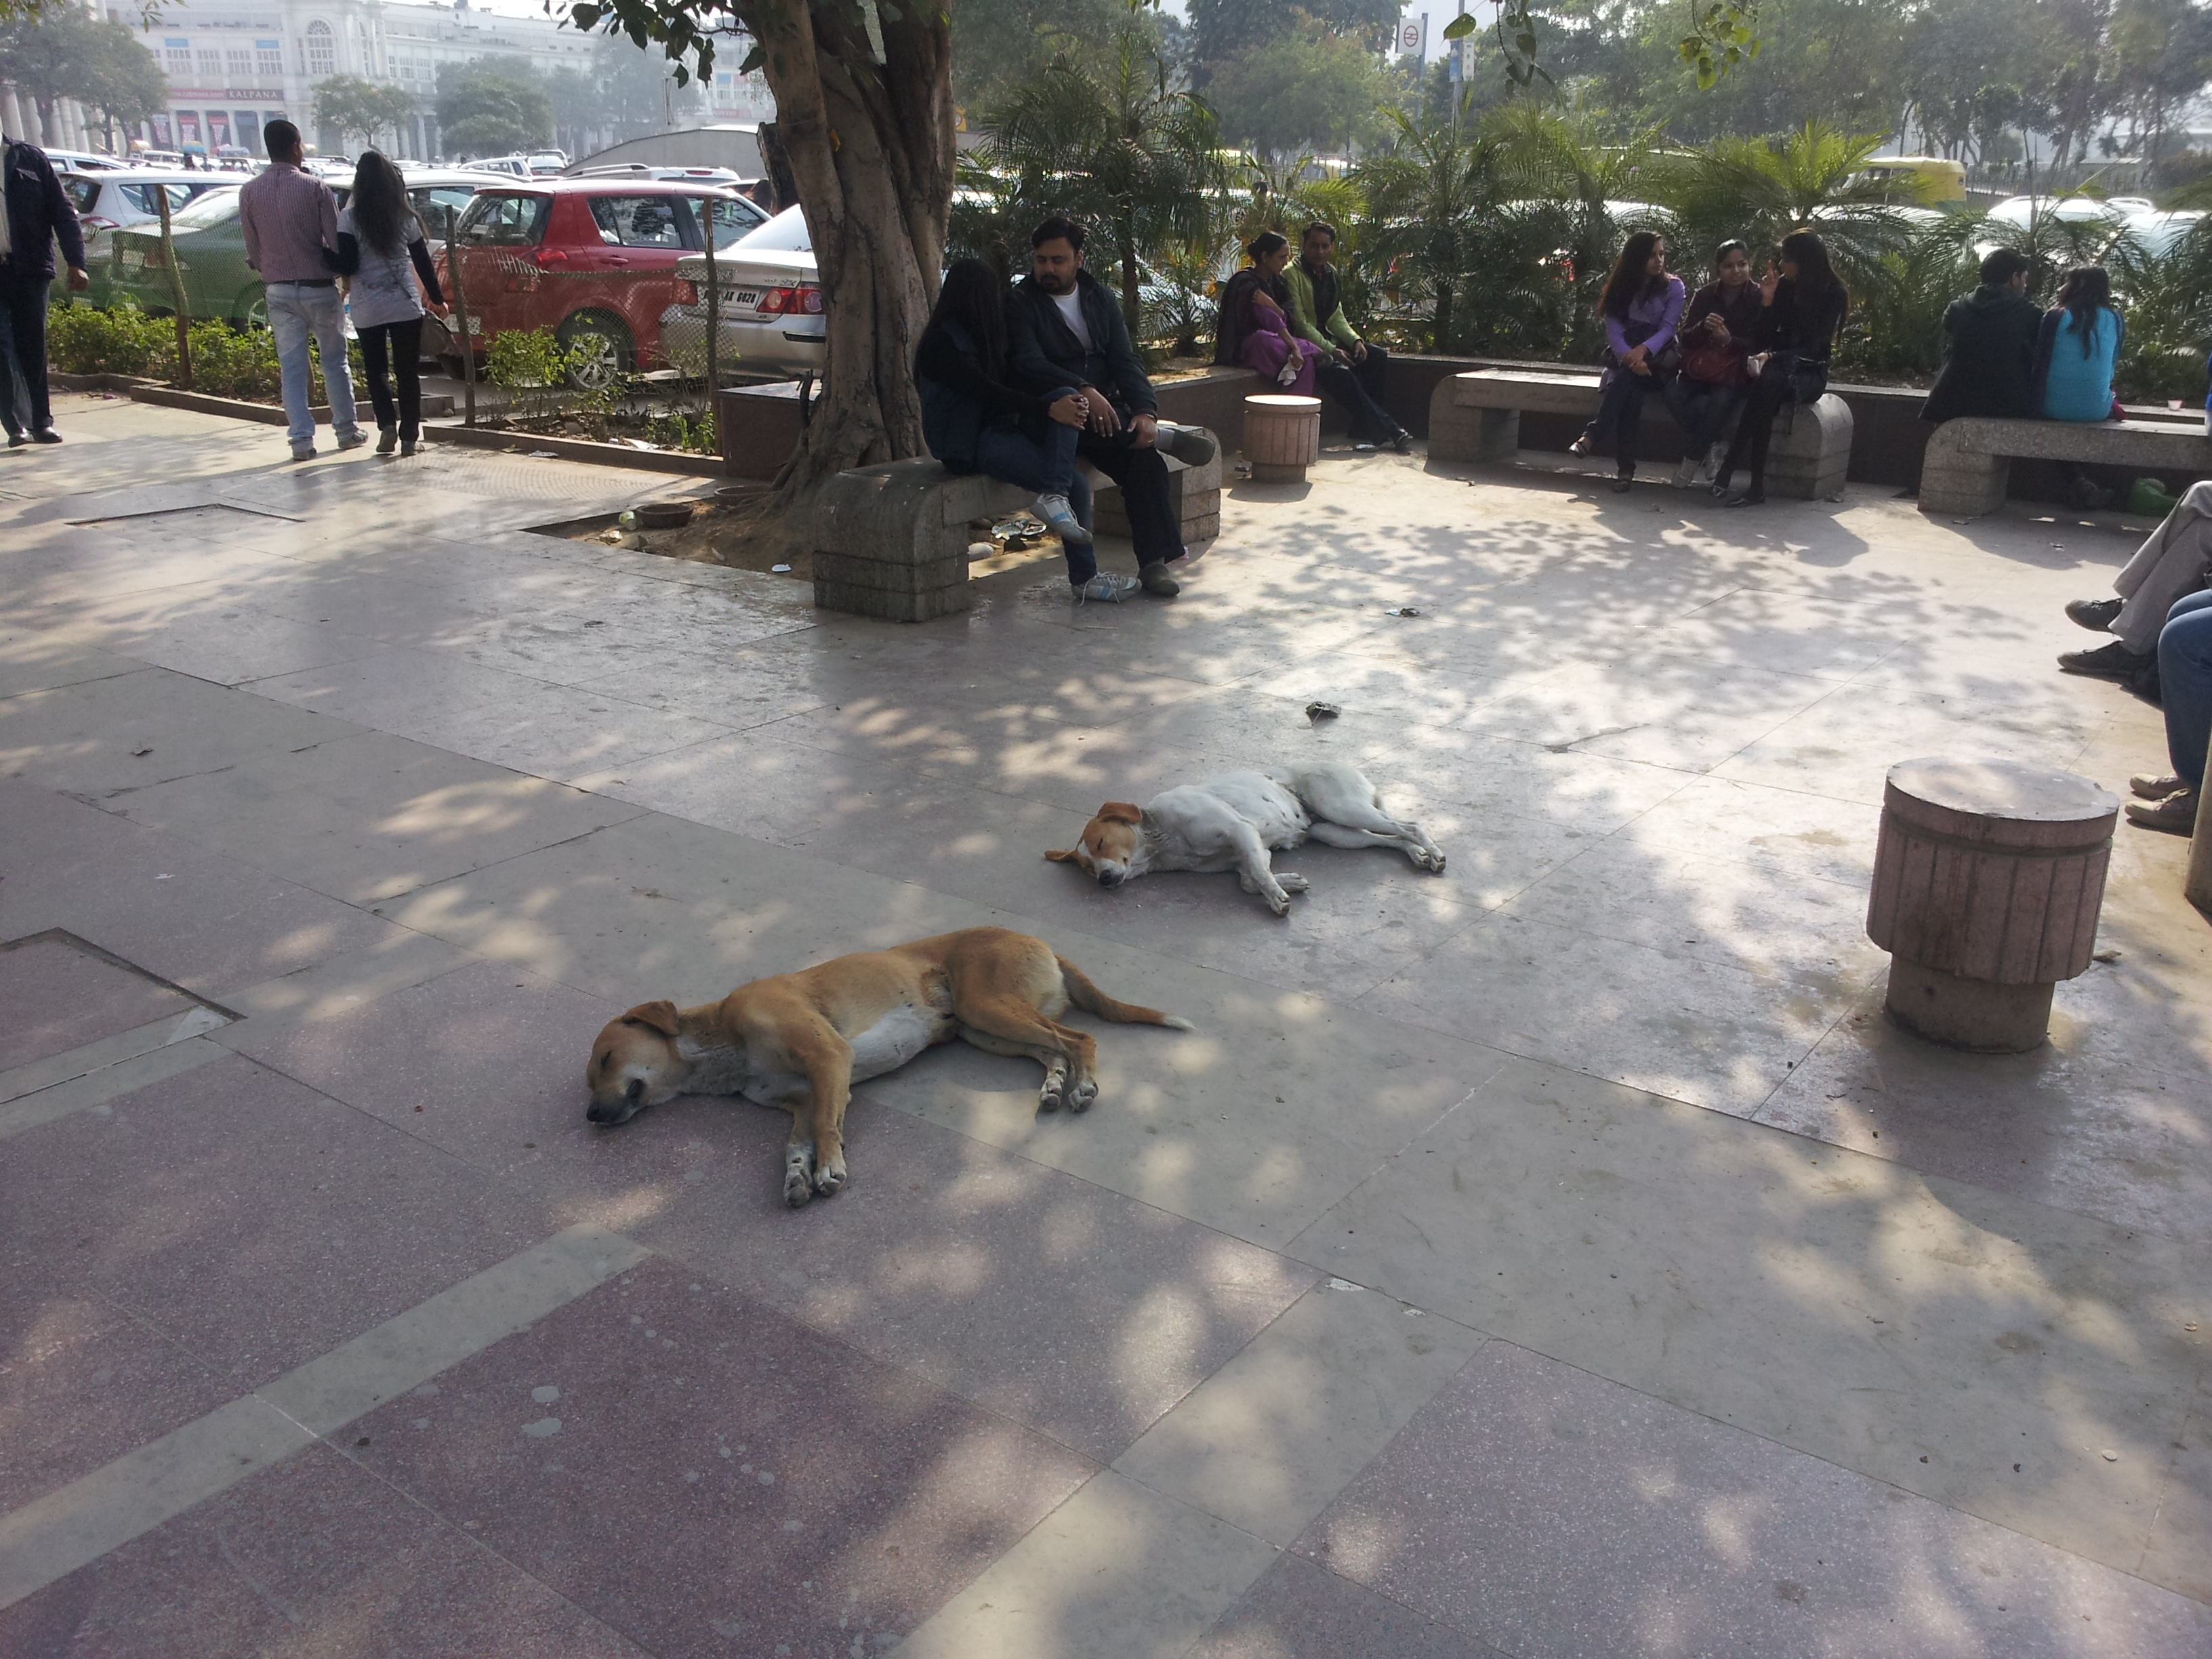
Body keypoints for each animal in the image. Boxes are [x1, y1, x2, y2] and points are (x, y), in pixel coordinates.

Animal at [584, 927, 1190, 1207]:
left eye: (608, 1058)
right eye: (590, 1078)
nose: (591, 1115)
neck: (721, 1039)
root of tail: (1038, 939)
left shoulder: (829, 1058)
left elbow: (828, 1129)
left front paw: (829, 1169)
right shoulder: (801, 1098)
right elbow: (799, 1142)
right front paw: (799, 1177)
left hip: (986, 1007)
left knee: (1080, 1037)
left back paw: (1083, 1084)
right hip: (985, 1031)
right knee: (1054, 1048)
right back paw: (1055, 1084)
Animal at [1048, 761, 1445, 915]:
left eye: (1101, 844)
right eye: (1086, 868)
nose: (1104, 879)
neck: (1161, 842)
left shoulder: (1241, 831)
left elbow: (1257, 876)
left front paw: (1277, 896)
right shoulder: (1249, 849)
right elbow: (1250, 878)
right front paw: (1289, 882)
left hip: (1342, 807)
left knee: (1409, 825)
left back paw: (1433, 852)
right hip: (1336, 833)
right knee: (1389, 837)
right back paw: (1417, 854)